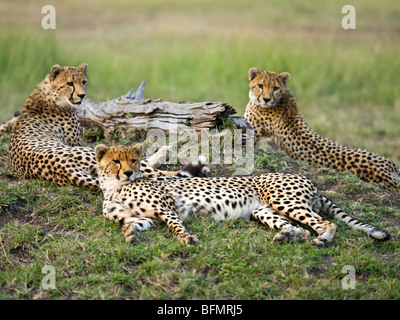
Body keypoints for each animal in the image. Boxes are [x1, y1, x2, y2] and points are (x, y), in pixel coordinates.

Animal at [8, 63, 196, 190]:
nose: (82, 96)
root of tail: (63, 169)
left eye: (84, 82)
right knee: (149, 171)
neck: (50, 95)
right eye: (70, 83)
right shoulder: (78, 143)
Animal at [94, 144, 390, 246]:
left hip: (284, 199)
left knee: (326, 223)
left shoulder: (168, 209)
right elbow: (133, 223)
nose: (129, 173)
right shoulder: (148, 217)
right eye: (116, 161)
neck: (113, 188)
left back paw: (323, 239)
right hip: (263, 210)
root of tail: (310, 180)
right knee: (299, 228)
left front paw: (187, 238)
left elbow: (177, 226)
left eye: (133, 160)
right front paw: (130, 234)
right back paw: (287, 236)